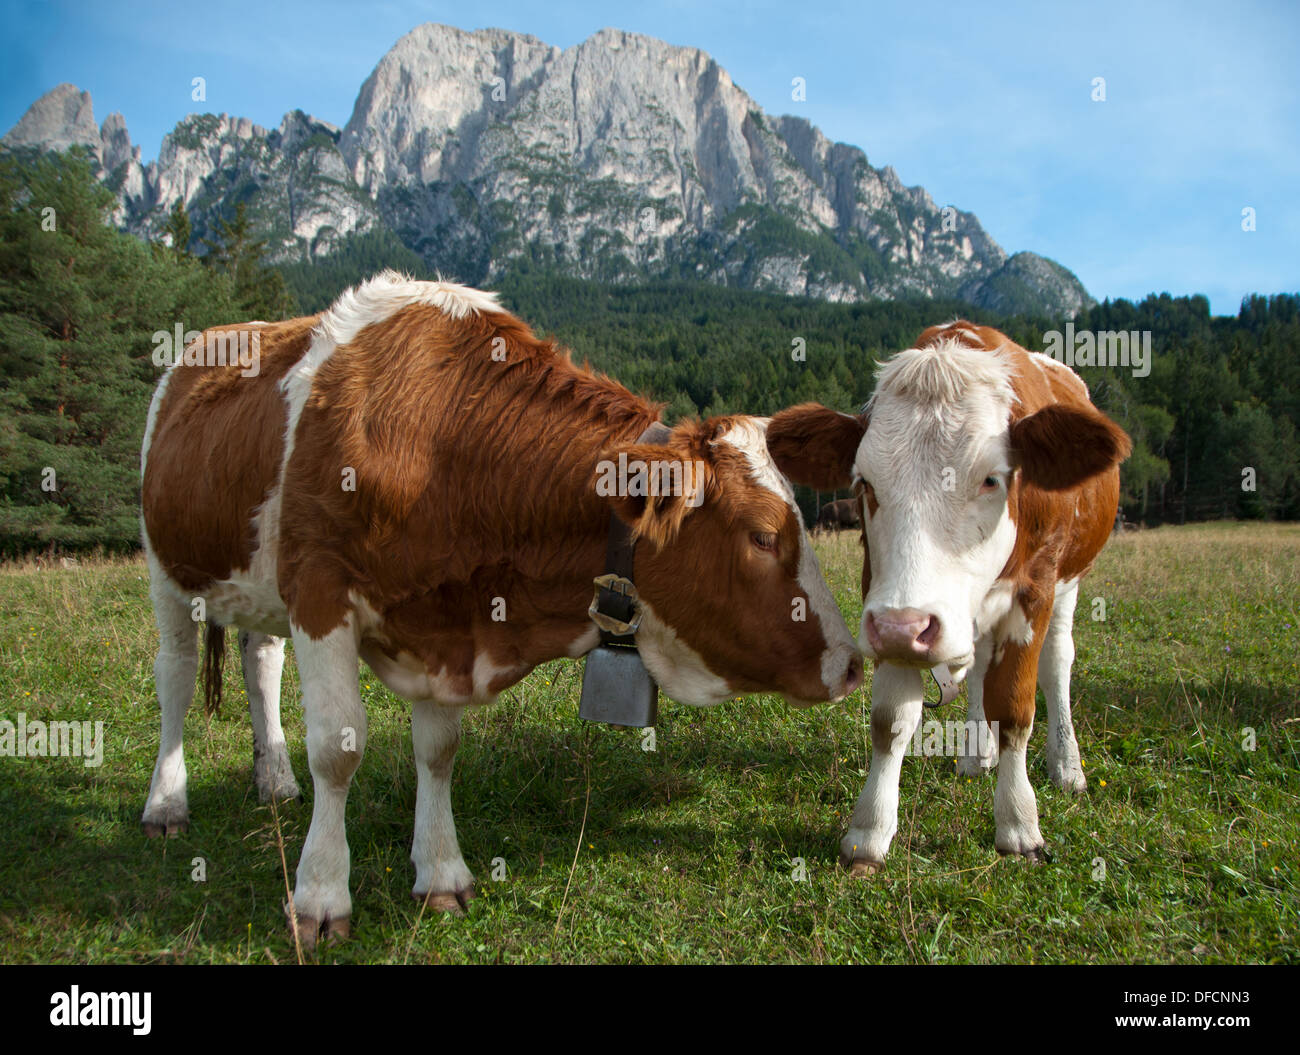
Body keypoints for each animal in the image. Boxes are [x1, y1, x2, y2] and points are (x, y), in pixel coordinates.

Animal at [139, 271, 863, 945]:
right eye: (763, 535)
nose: (850, 663)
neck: (436, 446)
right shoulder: (319, 589)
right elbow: (338, 748)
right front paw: (319, 898)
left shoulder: (441, 626)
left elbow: (438, 750)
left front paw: (440, 874)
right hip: (166, 572)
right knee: (175, 677)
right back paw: (167, 803)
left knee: (260, 663)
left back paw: (276, 782)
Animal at [769, 323, 1128, 873]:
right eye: (864, 483)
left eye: (991, 479)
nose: (904, 628)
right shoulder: (888, 600)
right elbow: (892, 720)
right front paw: (869, 831)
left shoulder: (1034, 592)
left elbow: (1016, 708)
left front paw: (1019, 823)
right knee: (977, 664)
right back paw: (977, 754)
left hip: (1070, 582)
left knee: (1057, 664)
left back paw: (1066, 764)